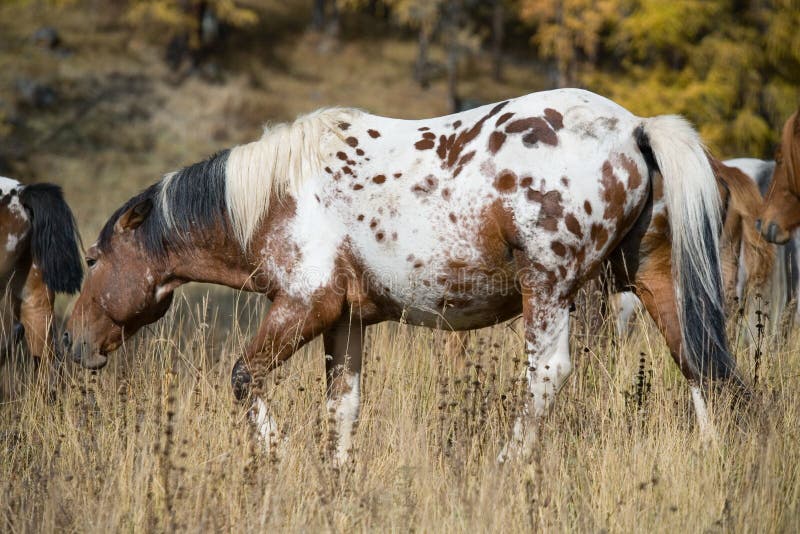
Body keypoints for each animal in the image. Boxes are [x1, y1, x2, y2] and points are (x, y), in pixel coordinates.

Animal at [64, 88, 740, 463]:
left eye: (93, 260)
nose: (70, 343)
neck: (278, 197)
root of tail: (634, 128)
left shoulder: (303, 307)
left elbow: (242, 377)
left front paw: (276, 453)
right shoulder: (344, 324)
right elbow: (342, 410)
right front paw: (333, 478)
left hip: (547, 291)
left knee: (546, 376)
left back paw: (506, 462)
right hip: (655, 282)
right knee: (698, 361)